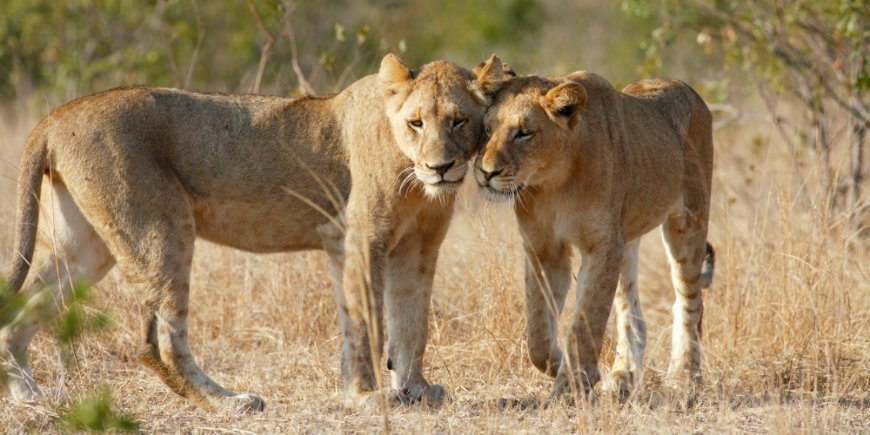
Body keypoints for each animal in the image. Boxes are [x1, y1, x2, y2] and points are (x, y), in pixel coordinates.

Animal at [5, 53, 510, 412]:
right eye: (416, 122)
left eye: (459, 120)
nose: (440, 167)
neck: (415, 180)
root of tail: (55, 116)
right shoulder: (359, 239)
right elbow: (366, 322)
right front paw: (368, 397)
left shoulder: (419, 246)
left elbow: (411, 321)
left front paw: (415, 388)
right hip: (162, 229)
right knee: (159, 343)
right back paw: (229, 403)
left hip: (84, 248)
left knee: (18, 314)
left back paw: (29, 396)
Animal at [476, 71, 716, 402]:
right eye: (487, 129)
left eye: (524, 133)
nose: (486, 173)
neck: (553, 182)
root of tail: (688, 89)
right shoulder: (543, 248)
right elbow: (537, 330)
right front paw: (558, 363)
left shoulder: (602, 245)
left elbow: (586, 318)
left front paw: (571, 386)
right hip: (626, 239)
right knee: (632, 314)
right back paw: (623, 376)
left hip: (687, 221)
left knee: (690, 302)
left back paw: (684, 377)